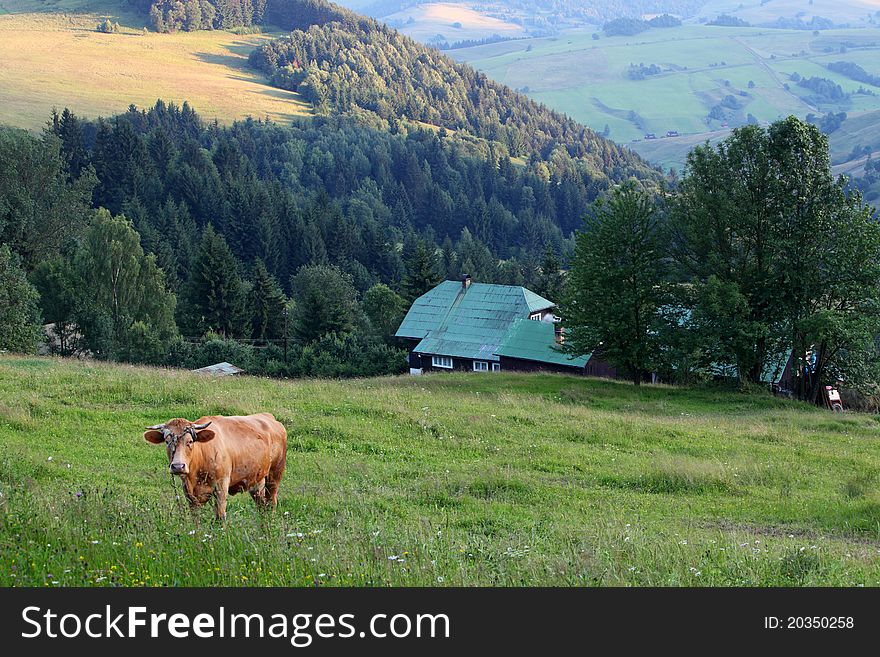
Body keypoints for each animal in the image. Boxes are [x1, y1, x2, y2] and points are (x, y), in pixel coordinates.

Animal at [144, 416, 288, 516]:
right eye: (167, 441)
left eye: (190, 441)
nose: (178, 466)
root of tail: (271, 418)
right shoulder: (188, 491)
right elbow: (195, 518)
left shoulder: (221, 485)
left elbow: (219, 516)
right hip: (256, 481)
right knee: (262, 506)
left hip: (274, 476)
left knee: (271, 503)